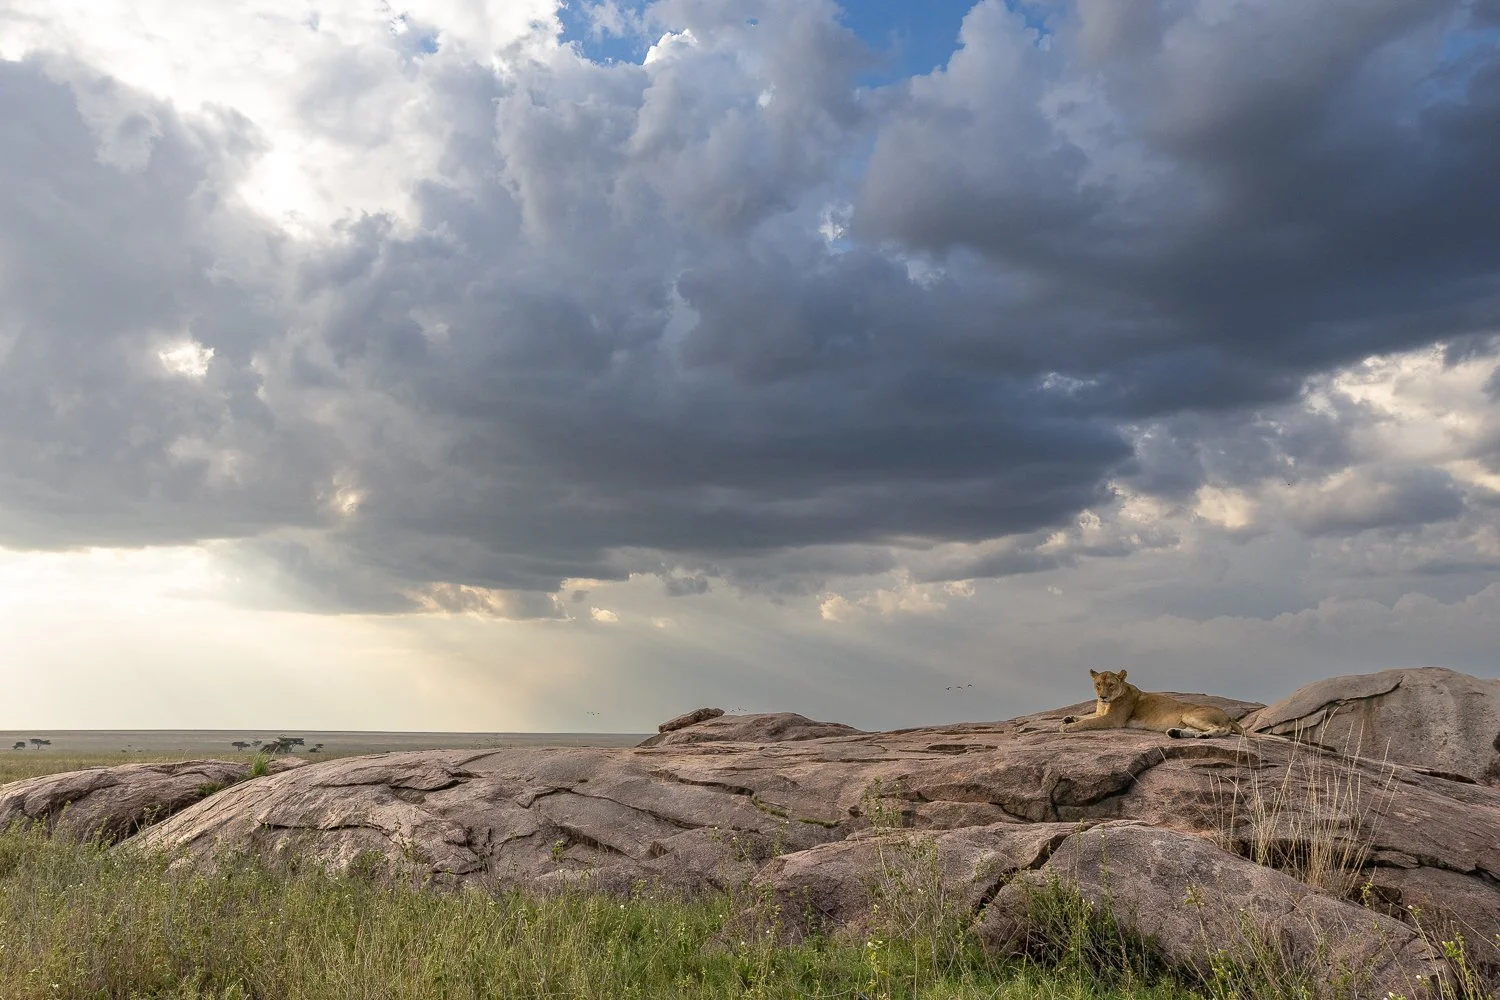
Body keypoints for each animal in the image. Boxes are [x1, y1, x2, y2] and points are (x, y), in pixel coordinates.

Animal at [1059, 669, 1245, 739]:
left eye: (1111, 685)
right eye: (1098, 684)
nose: (1102, 696)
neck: (1105, 705)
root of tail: (1228, 715)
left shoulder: (1113, 720)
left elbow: (1088, 722)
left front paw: (1067, 727)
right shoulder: (1101, 713)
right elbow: (1087, 716)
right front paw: (1068, 718)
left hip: (1190, 714)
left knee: (1222, 730)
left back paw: (1204, 736)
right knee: (1194, 730)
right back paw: (1175, 733)